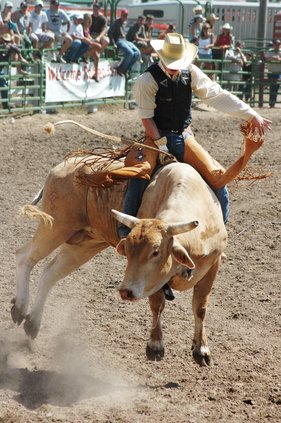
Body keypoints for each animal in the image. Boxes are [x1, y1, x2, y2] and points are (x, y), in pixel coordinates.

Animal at [13, 154, 226, 366]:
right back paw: (20, 307)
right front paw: (155, 345)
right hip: (56, 226)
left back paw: (32, 322)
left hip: (85, 244)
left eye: (156, 252)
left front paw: (201, 349)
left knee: (49, 273)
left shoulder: (213, 265)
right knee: (25, 257)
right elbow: (157, 305)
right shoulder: (154, 281)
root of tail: (62, 166)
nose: (125, 291)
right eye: (128, 251)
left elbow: (200, 308)